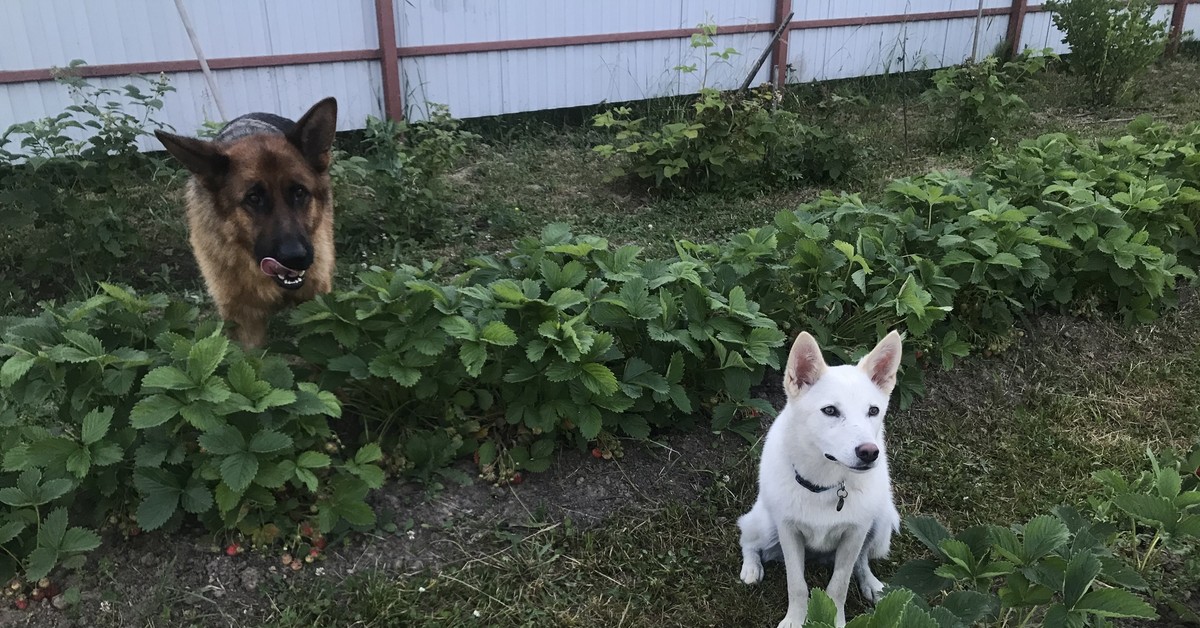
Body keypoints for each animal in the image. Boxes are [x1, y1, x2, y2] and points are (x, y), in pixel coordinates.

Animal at [739, 331, 902, 624]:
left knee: (862, 560)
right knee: (747, 537)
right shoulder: (788, 531)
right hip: (766, 526)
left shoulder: (855, 533)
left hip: (881, 522)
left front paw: (835, 621)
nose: (869, 453)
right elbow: (797, 585)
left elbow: (839, 585)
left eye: (873, 411)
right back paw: (751, 567)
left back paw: (871, 583)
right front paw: (794, 620)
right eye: (830, 411)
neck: (826, 485)